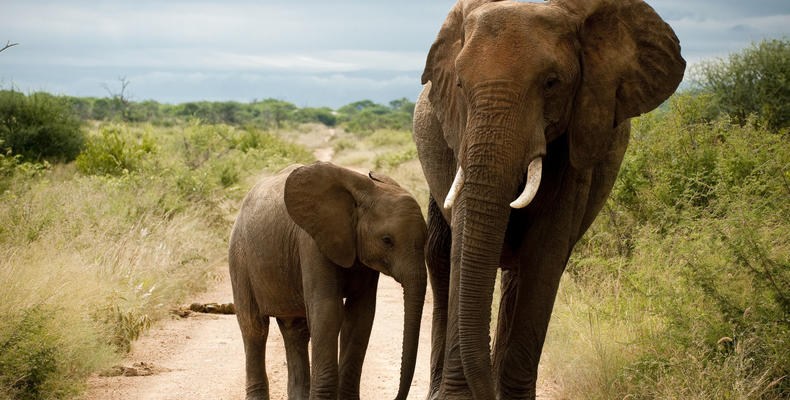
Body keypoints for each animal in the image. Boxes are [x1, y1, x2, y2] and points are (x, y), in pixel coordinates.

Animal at [229, 161, 426, 398]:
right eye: (387, 240)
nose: (396, 396)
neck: (366, 191)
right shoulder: (312, 242)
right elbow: (328, 312)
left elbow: (360, 315)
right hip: (239, 256)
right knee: (254, 328)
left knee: (295, 330)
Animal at [414, 1, 688, 398]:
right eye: (460, 84)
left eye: (551, 82)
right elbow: (463, 243)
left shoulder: (580, 139)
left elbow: (545, 254)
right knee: (439, 253)